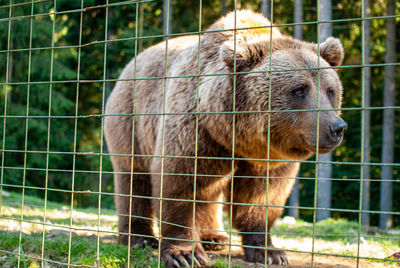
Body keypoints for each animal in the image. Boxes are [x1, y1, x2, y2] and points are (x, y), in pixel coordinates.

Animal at [104, 9, 346, 266]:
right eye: (299, 90)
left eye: (331, 91)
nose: (336, 127)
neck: (237, 138)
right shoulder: (196, 130)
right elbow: (180, 183)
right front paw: (186, 254)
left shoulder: (264, 159)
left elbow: (262, 196)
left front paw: (270, 252)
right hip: (130, 120)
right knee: (133, 177)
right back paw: (140, 238)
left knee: (209, 192)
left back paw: (214, 237)